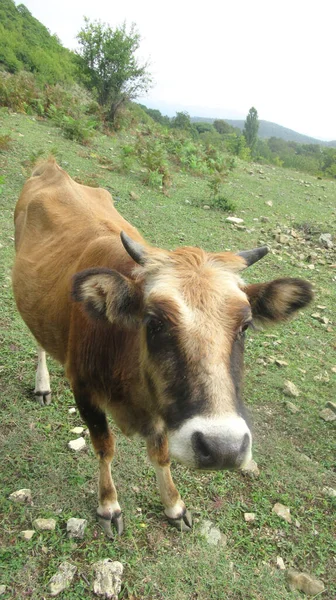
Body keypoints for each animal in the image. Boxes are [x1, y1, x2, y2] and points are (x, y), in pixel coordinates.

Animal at [12, 158, 312, 536]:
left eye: (245, 326)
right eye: (154, 322)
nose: (223, 448)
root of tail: (52, 167)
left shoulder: (162, 409)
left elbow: (161, 453)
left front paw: (173, 504)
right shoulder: (83, 388)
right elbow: (104, 446)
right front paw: (108, 505)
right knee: (39, 341)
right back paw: (42, 386)